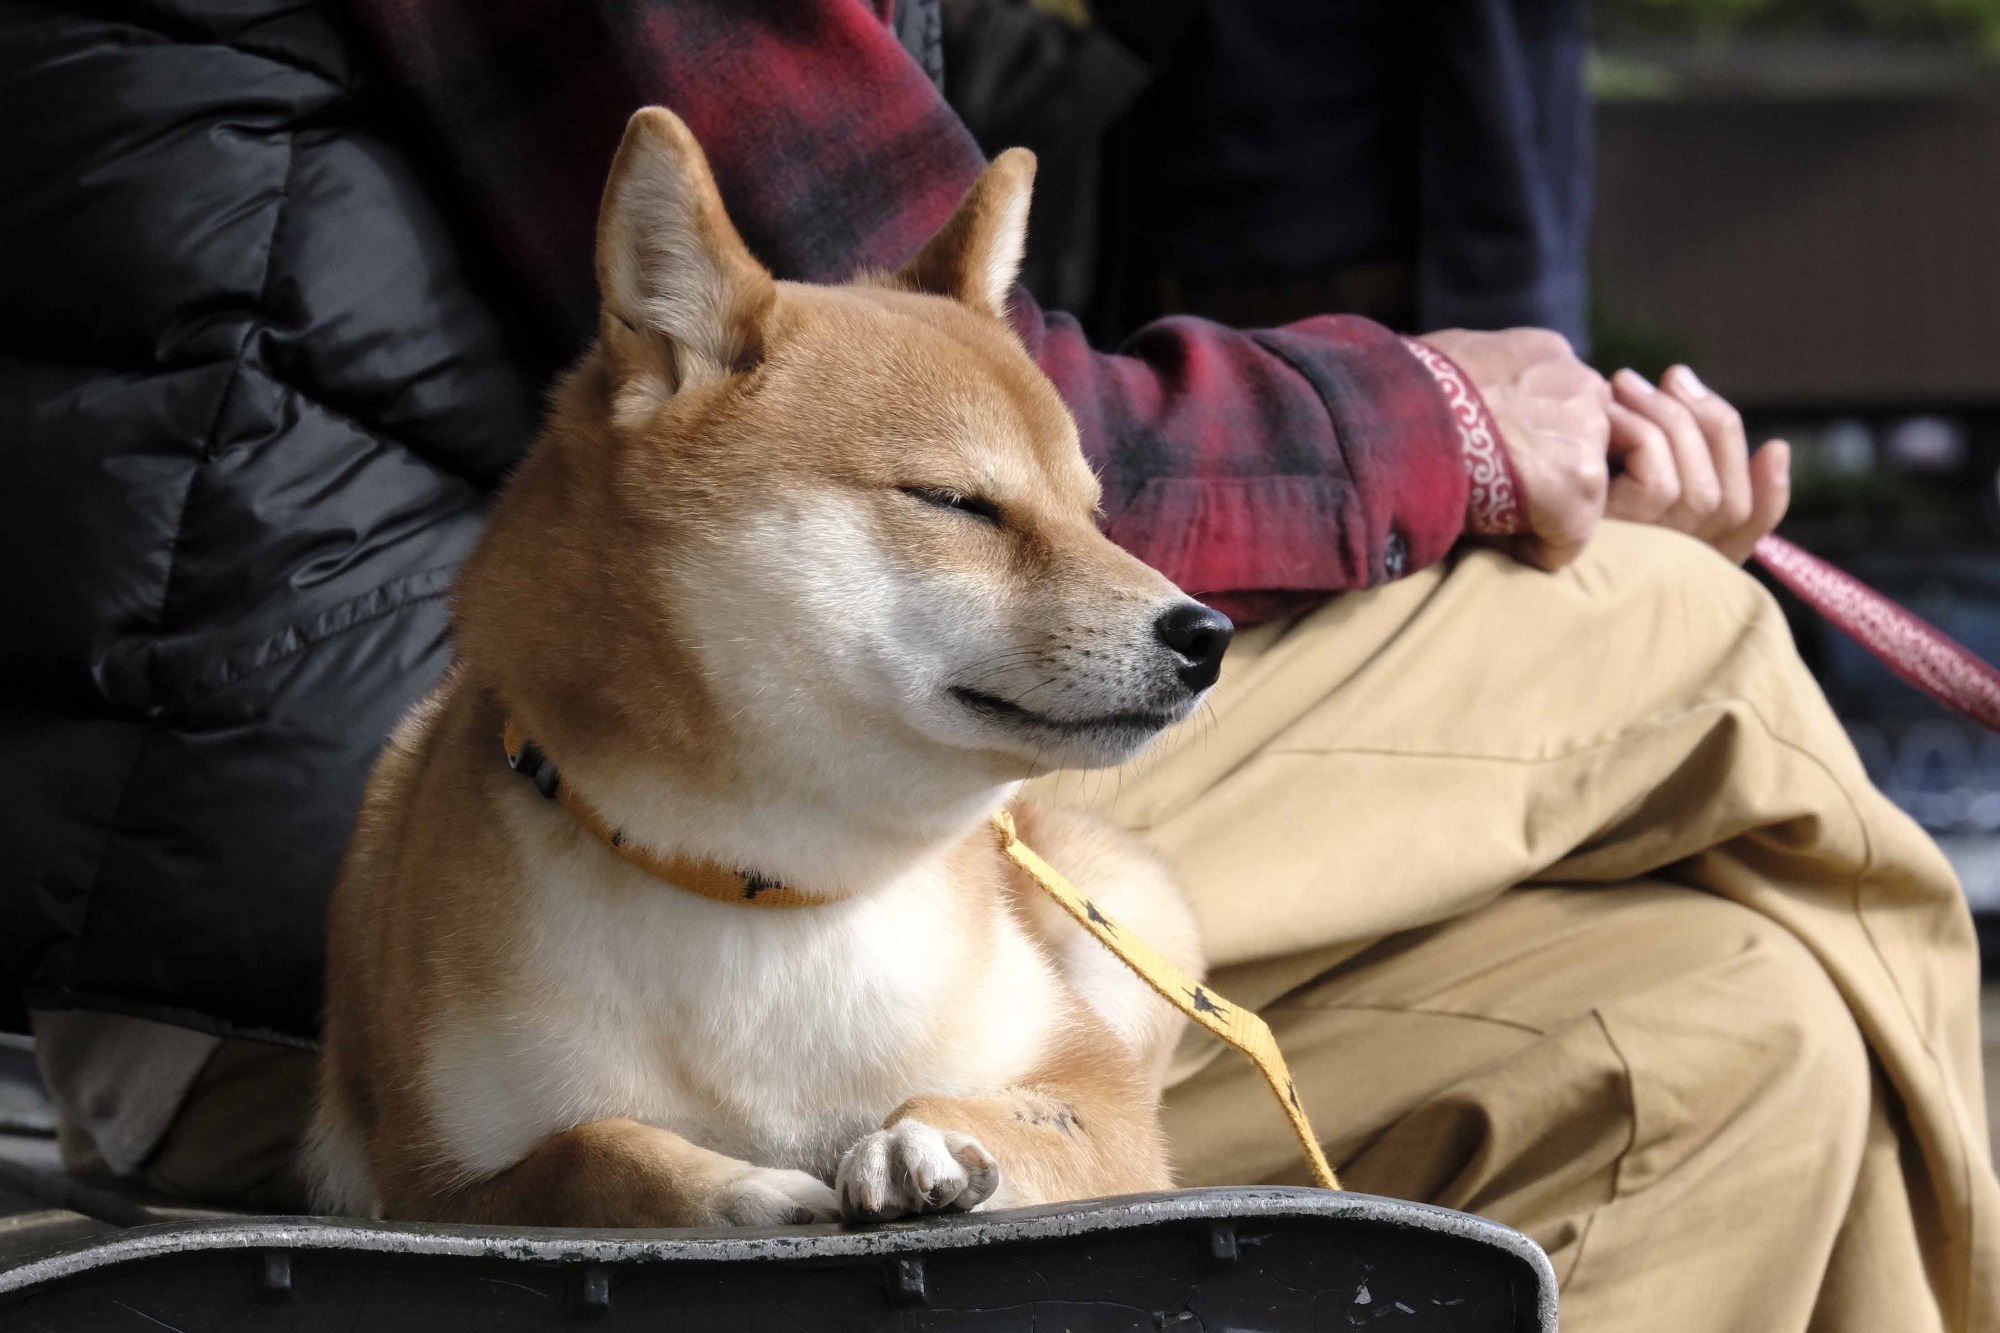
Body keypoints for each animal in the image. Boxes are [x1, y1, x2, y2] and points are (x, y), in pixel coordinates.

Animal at [304, 109, 1224, 1216]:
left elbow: (1006, 1107)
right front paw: (738, 1188)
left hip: (1133, 913)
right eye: (955, 502)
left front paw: (918, 1138)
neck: (765, 888)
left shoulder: (1097, 1095)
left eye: (1094, 516)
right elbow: (591, 1149)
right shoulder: (432, 1185)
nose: (1206, 634)